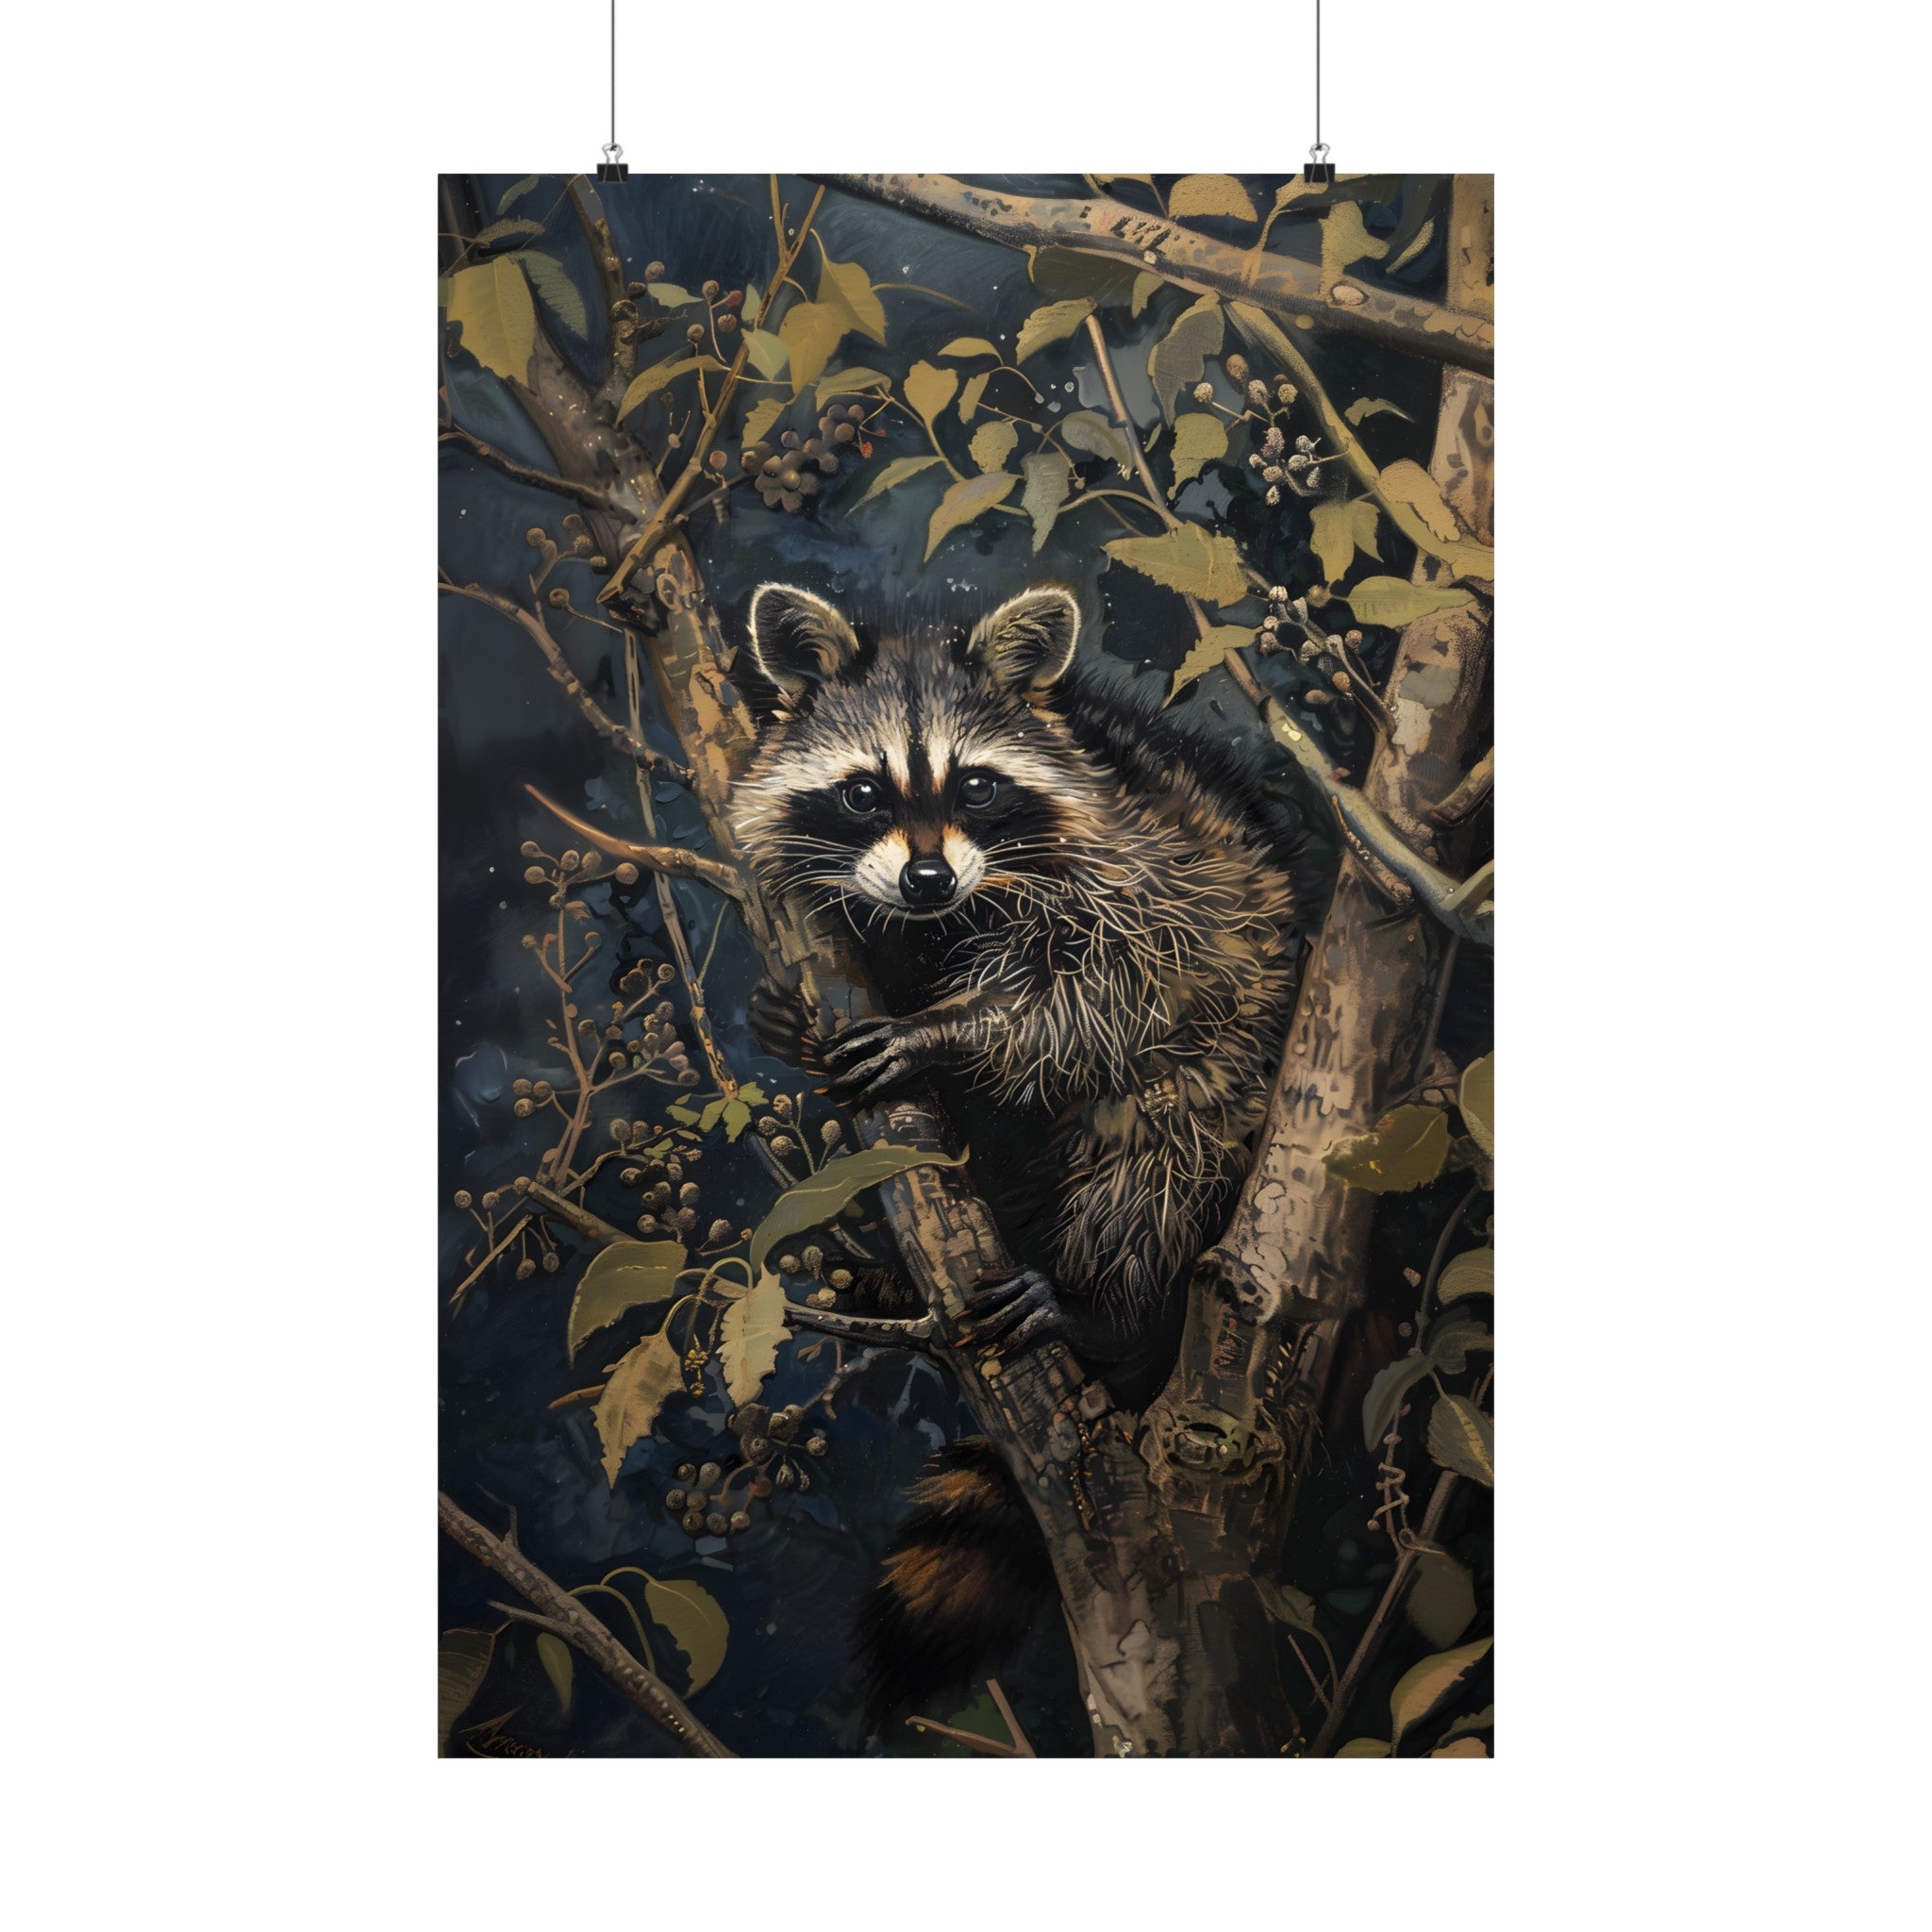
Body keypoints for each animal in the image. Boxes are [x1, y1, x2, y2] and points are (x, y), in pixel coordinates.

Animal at [730, 582, 1308, 1724]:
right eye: (862, 791)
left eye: (977, 784)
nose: (922, 876)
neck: (949, 916)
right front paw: (798, 1018)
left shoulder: (1147, 880)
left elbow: (1088, 1002)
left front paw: (948, 1028)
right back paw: (883, 1273)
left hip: (1233, 1070)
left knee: (1157, 1156)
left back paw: (1105, 1307)